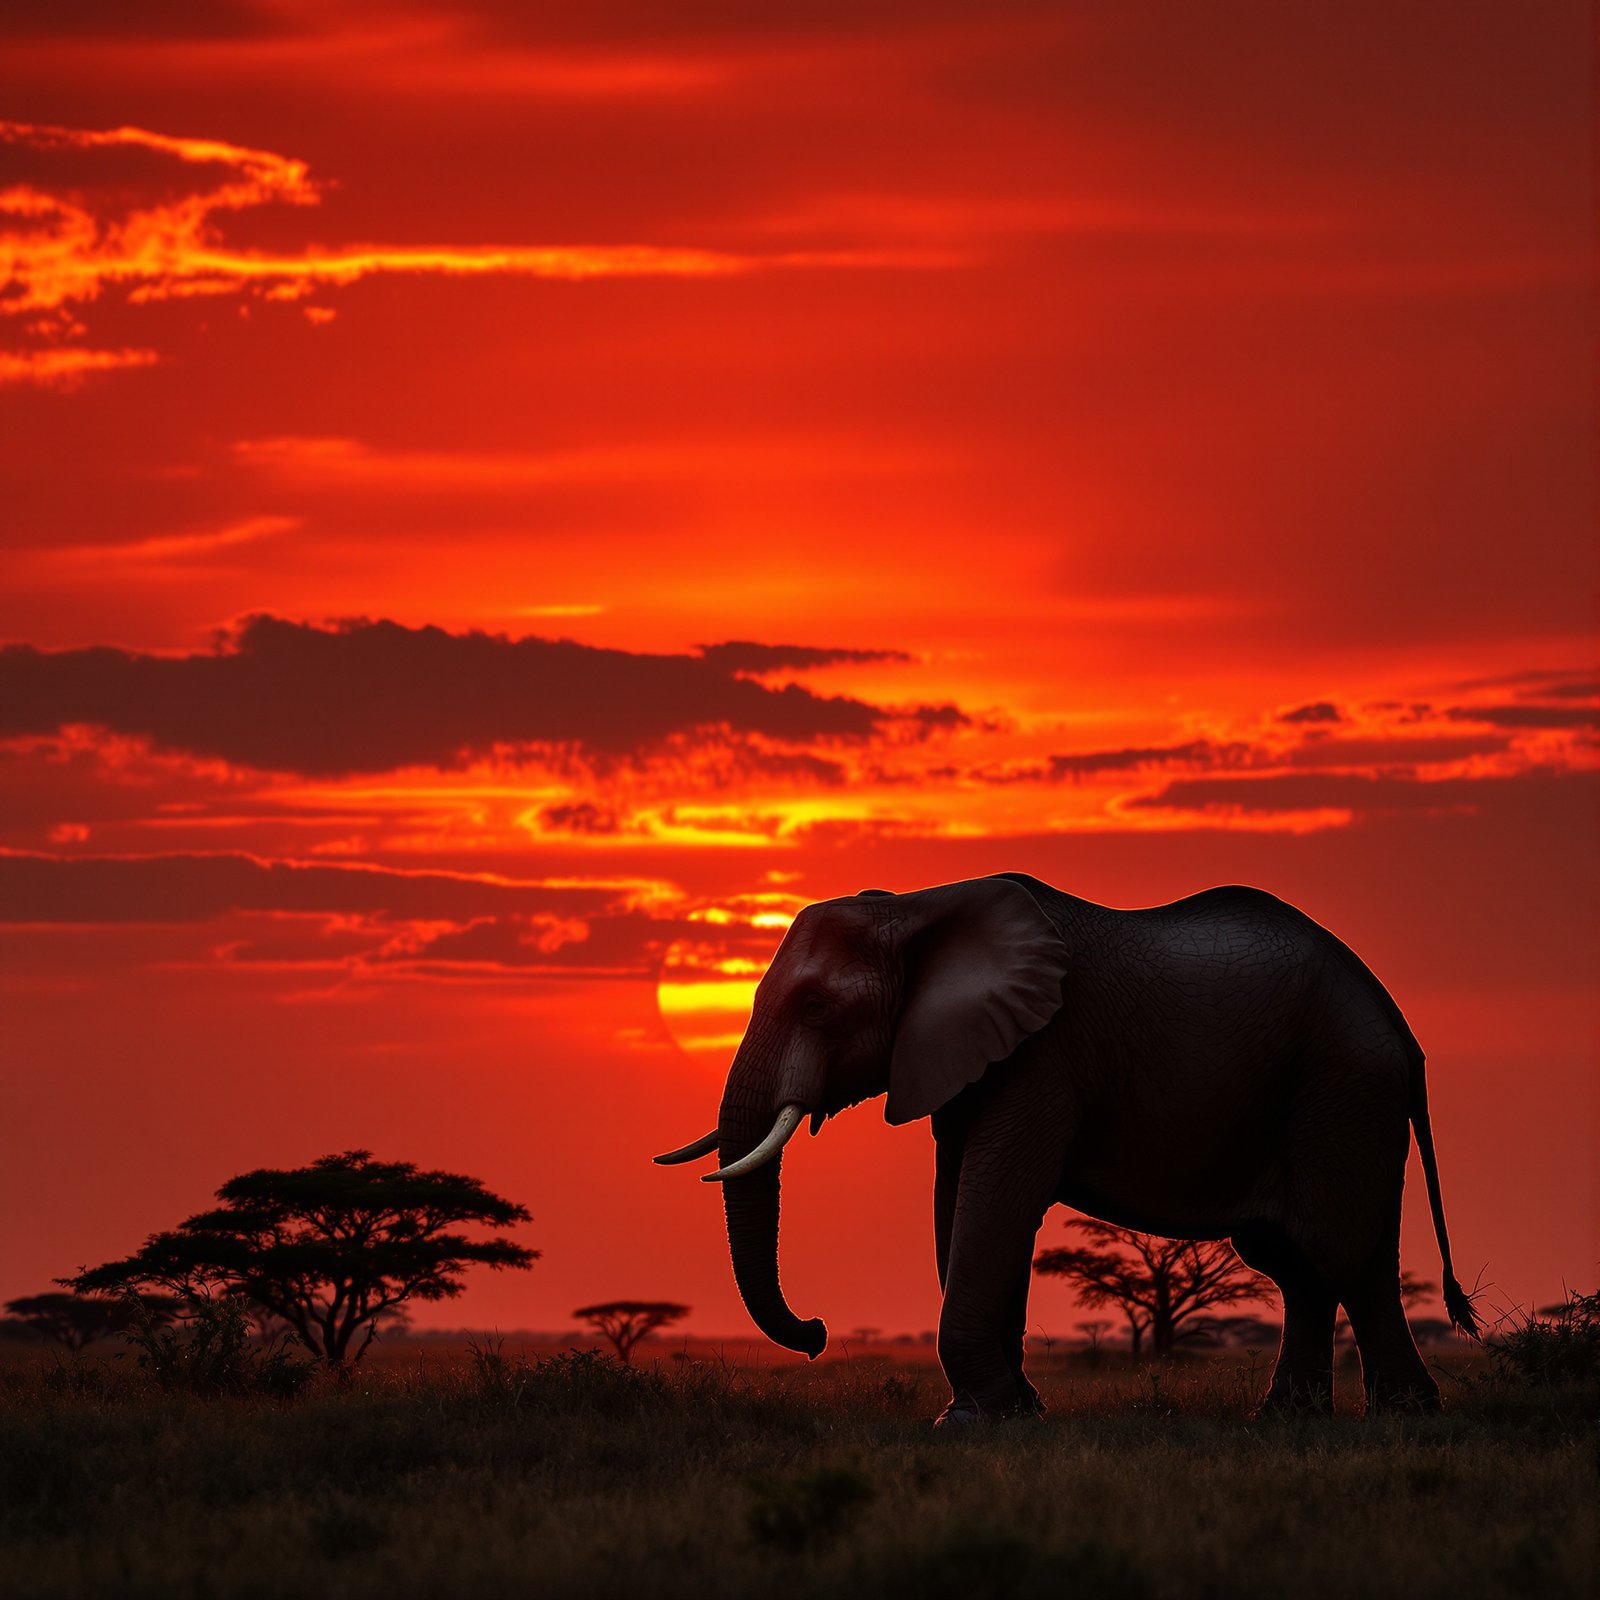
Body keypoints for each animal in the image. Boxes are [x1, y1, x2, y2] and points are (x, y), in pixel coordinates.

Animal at [656, 873, 1479, 1424]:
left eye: (816, 1005)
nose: (819, 1334)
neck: (916, 907)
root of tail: (1399, 1024)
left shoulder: (1045, 1053)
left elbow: (998, 1199)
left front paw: (977, 1424)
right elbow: (956, 1202)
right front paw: (1011, 1412)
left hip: (1342, 1085)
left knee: (1342, 1251)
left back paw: (1405, 1423)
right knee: (1296, 1260)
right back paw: (1284, 1424)